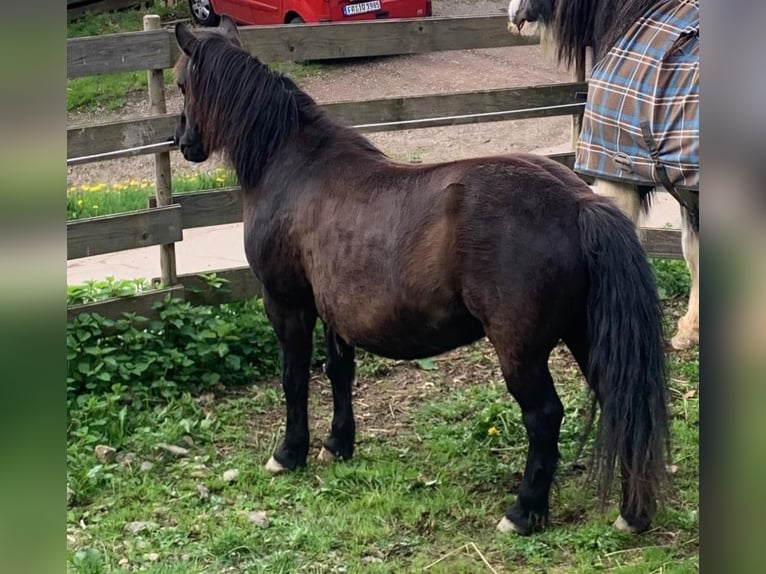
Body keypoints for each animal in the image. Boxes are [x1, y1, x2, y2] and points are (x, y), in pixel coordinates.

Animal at [172, 16, 671, 535]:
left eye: (182, 84)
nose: (182, 143)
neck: (293, 164)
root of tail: (579, 203)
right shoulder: (333, 311)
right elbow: (338, 372)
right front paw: (337, 445)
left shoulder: (287, 302)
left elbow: (294, 379)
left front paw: (289, 454)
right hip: (584, 331)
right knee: (620, 399)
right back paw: (632, 512)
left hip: (522, 350)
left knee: (544, 417)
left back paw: (523, 511)